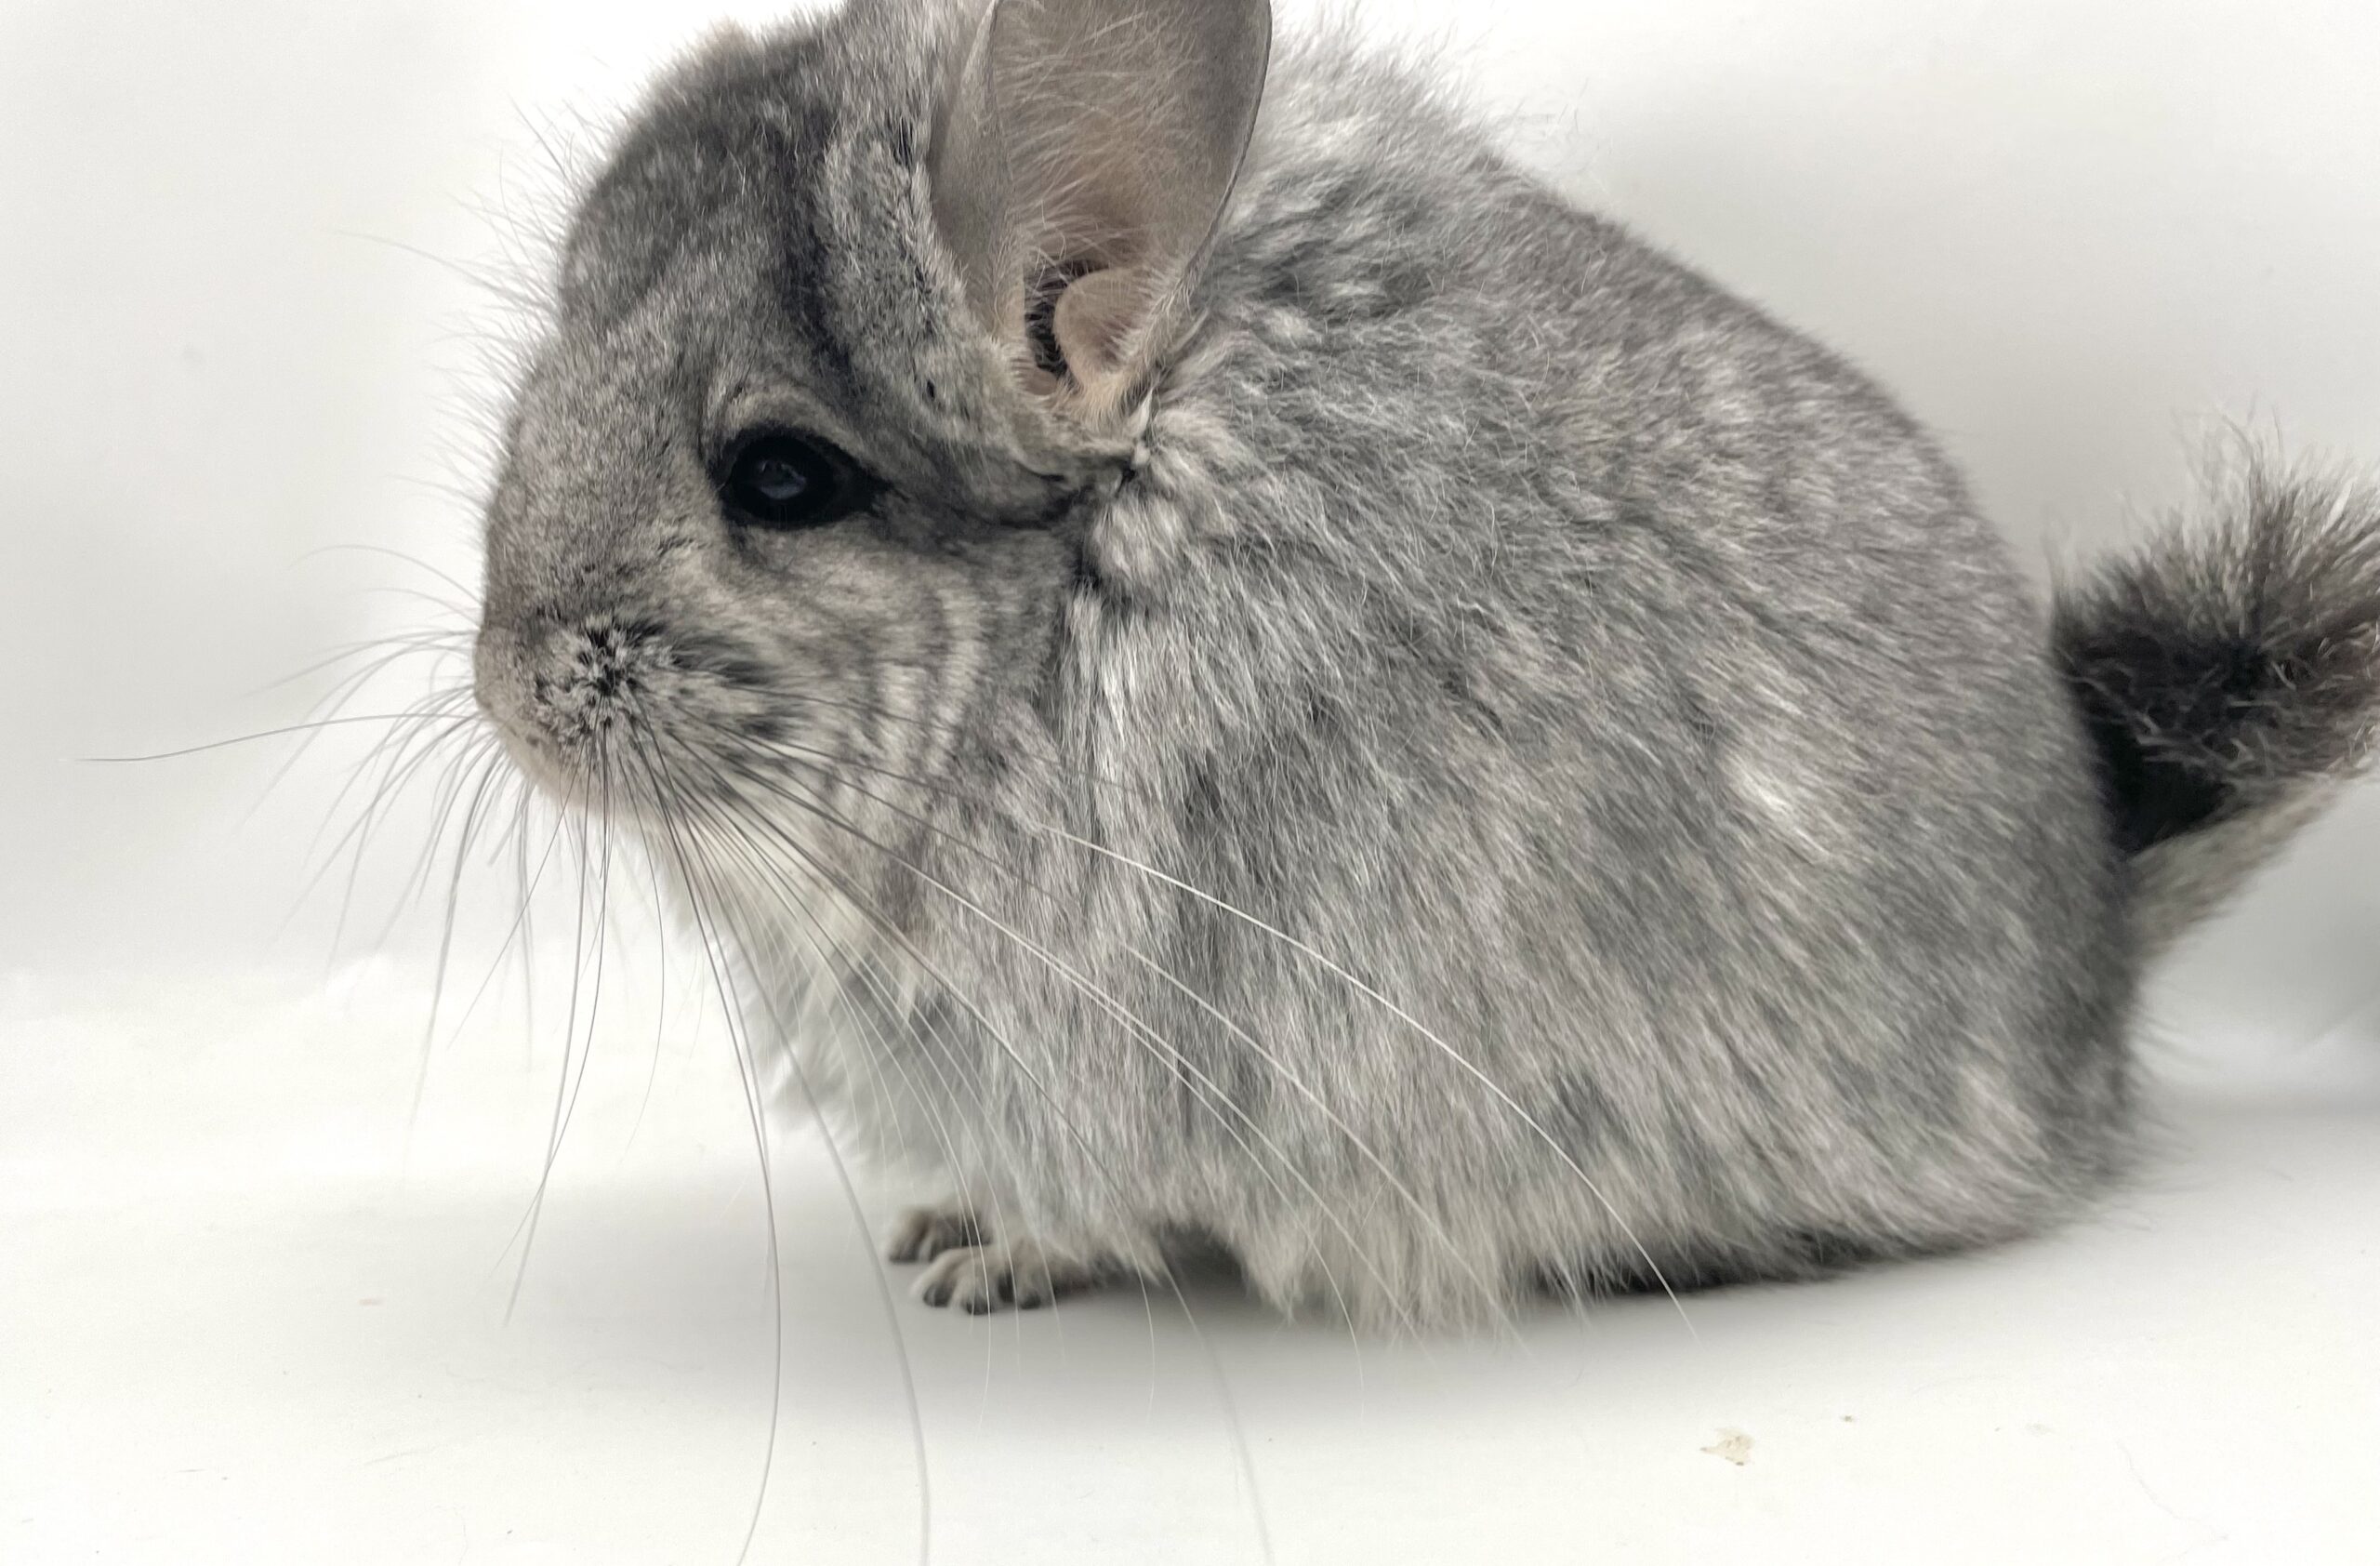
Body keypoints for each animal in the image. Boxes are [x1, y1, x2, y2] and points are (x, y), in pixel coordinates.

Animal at [468, 0, 2380, 1330]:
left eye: (782, 477)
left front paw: (982, 1269)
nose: (501, 689)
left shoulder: (1098, 1064)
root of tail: (2102, 945)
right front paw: (937, 1227)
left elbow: (1070, 1210)